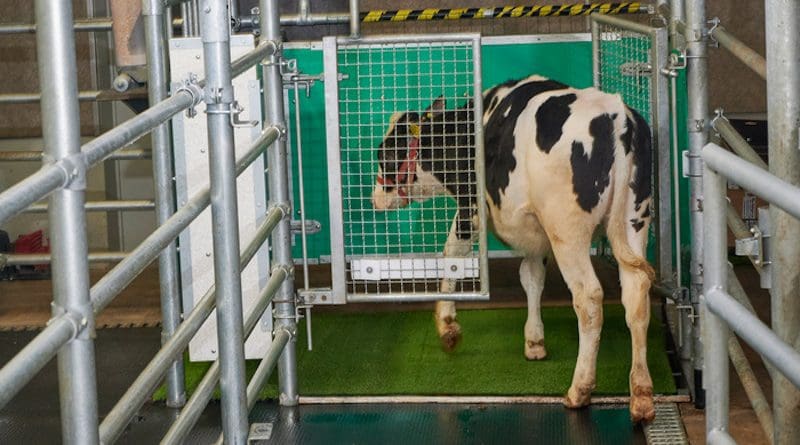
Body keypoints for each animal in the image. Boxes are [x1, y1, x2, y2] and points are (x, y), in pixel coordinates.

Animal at [372, 74, 652, 422]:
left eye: (384, 153)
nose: (375, 198)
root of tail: (616, 115)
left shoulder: (471, 208)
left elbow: (452, 254)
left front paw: (447, 325)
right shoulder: (534, 231)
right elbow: (531, 277)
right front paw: (534, 341)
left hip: (567, 230)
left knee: (588, 298)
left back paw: (580, 389)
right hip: (634, 220)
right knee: (637, 293)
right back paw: (641, 394)